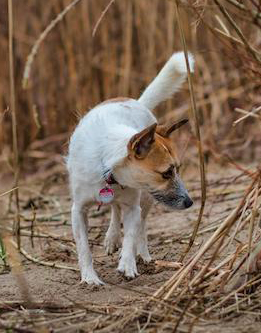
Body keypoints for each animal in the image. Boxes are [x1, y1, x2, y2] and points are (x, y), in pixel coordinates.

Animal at [66, 51, 193, 282]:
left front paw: (128, 264)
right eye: (167, 173)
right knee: (116, 210)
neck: (109, 169)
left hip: (148, 198)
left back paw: (141, 254)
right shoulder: (78, 210)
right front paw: (90, 277)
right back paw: (112, 237)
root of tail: (135, 102)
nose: (189, 202)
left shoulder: (134, 206)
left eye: (177, 169)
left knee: (139, 225)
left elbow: (132, 234)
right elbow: (83, 248)